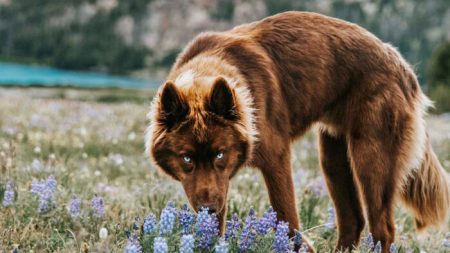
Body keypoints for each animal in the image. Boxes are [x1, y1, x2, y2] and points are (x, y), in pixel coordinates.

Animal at [146, 10, 448, 252]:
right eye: (187, 159)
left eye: (220, 154)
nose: (207, 209)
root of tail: (402, 65)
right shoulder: (217, 184)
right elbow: (216, 227)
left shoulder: (275, 159)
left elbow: (286, 216)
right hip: (334, 157)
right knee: (352, 220)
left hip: (371, 159)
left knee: (383, 229)